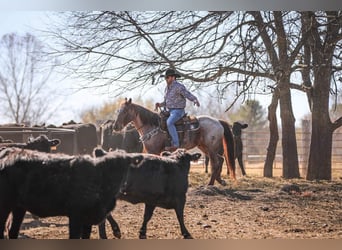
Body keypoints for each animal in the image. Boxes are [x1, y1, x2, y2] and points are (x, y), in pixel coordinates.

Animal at [0, 147, 142, 239]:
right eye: (109, 167)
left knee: (12, 231)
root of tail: (8, 152)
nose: (117, 185)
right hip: (5, 205)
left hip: (19, 207)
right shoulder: (75, 216)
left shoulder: (88, 219)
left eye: (126, 166)